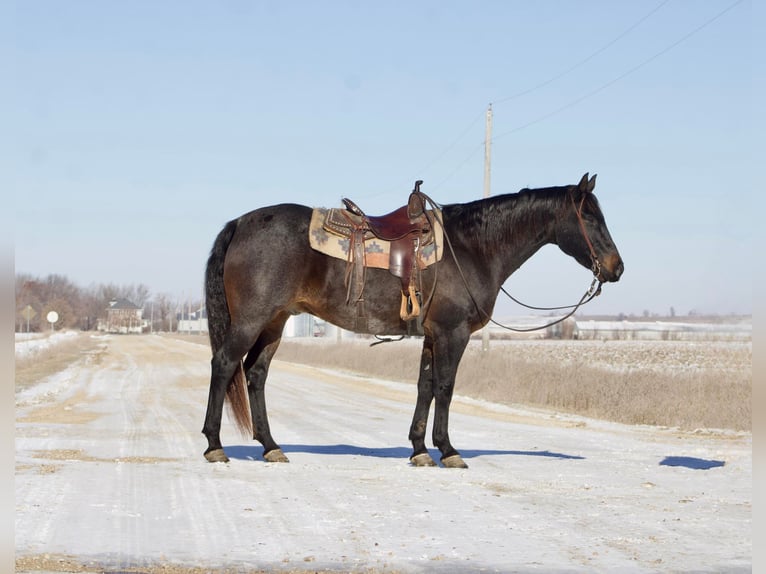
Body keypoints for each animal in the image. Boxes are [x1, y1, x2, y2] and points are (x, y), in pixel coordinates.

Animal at [202, 172, 624, 468]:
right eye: (589, 217)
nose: (616, 268)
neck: (471, 248)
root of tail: (240, 223)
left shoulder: (432, 336)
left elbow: (425, 387)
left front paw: (420, 449)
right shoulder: (453, 334)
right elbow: (445, 387)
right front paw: (448, 450)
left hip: (274, 323)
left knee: (255, 375)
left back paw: (271, 447)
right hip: (251, 320)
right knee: (224, 365)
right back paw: (214, 445)